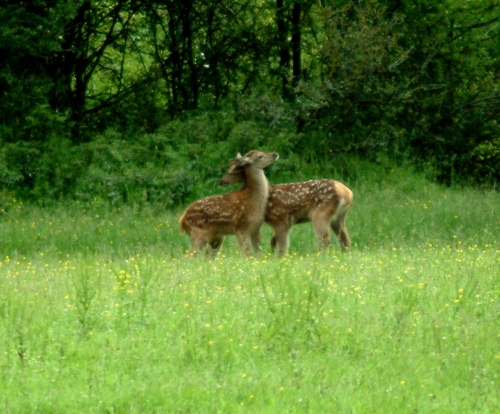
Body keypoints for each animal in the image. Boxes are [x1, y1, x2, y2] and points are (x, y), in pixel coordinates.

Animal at [219, 163, 352, 256]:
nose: (221, 181)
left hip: (321, 213)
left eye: (232, 171)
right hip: (339, 216)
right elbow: (274, 242)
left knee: (324, 238)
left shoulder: (279, 217)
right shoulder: (287, 222)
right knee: (344, 237)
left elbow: (280, 244)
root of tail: (348, 193)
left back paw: (319, 256)